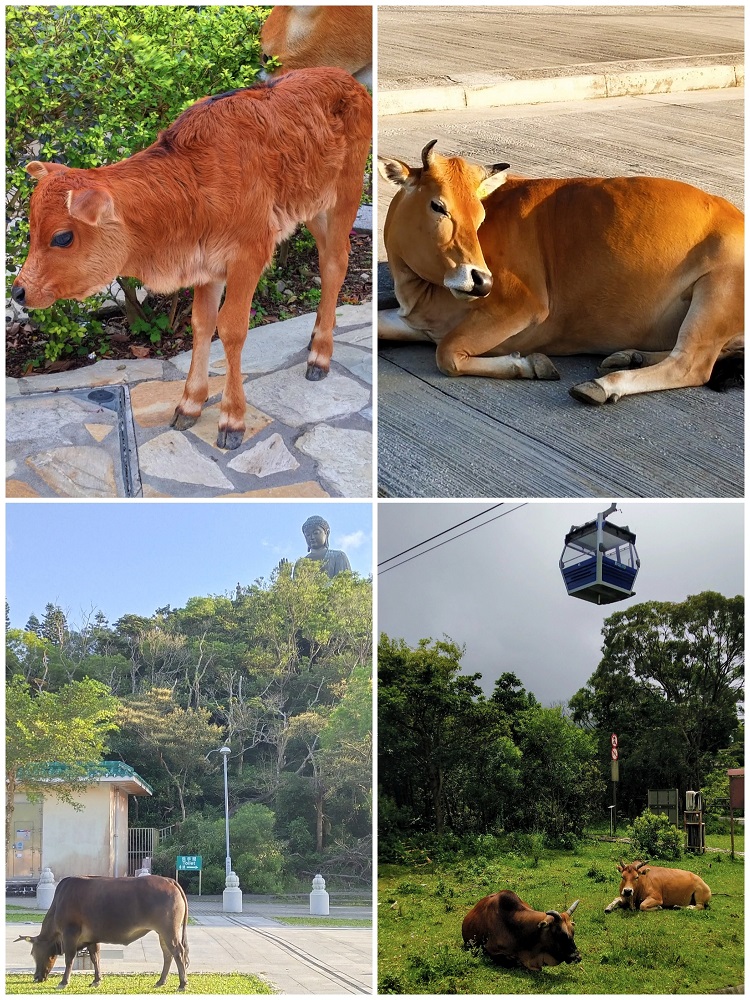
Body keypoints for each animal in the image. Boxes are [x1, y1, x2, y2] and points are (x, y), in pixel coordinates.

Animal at [11, 66, 374, 450]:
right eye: (31, 227)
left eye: (62, 237)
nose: (18, 291)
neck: (192, 184)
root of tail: (346, 78)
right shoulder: (207, 266)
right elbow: (202, 323)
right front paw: (189, 404)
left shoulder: (249, 255)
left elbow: (232, 329)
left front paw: (232, 420)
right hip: (313, 209)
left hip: (344, 196)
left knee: (335, 263)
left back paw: (320, 356)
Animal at [378, 142, 744, 406]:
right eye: (438, 206)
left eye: (480, 215)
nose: (481, 280)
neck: (420, 292)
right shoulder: (416, 321)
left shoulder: (523, 306)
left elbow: (448, 354)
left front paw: (529, 365)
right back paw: (630, 355)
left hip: (717, 288)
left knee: (692, 363)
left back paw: (602, 384)